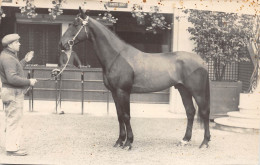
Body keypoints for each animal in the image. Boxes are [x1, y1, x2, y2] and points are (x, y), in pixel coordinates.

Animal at [60, 7, 210, 150]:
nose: (62, 44)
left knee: (204, 112)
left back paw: (205, 142)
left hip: (197, 92)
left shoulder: (123, 92)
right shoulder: (114, 93)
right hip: (183, 90)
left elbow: (126, 116)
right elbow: (119, 115)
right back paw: (184, 140)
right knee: (190, 112)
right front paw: (119, 141)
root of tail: (202, 61)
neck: (116, 57)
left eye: (75, 24)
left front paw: (128, 143)